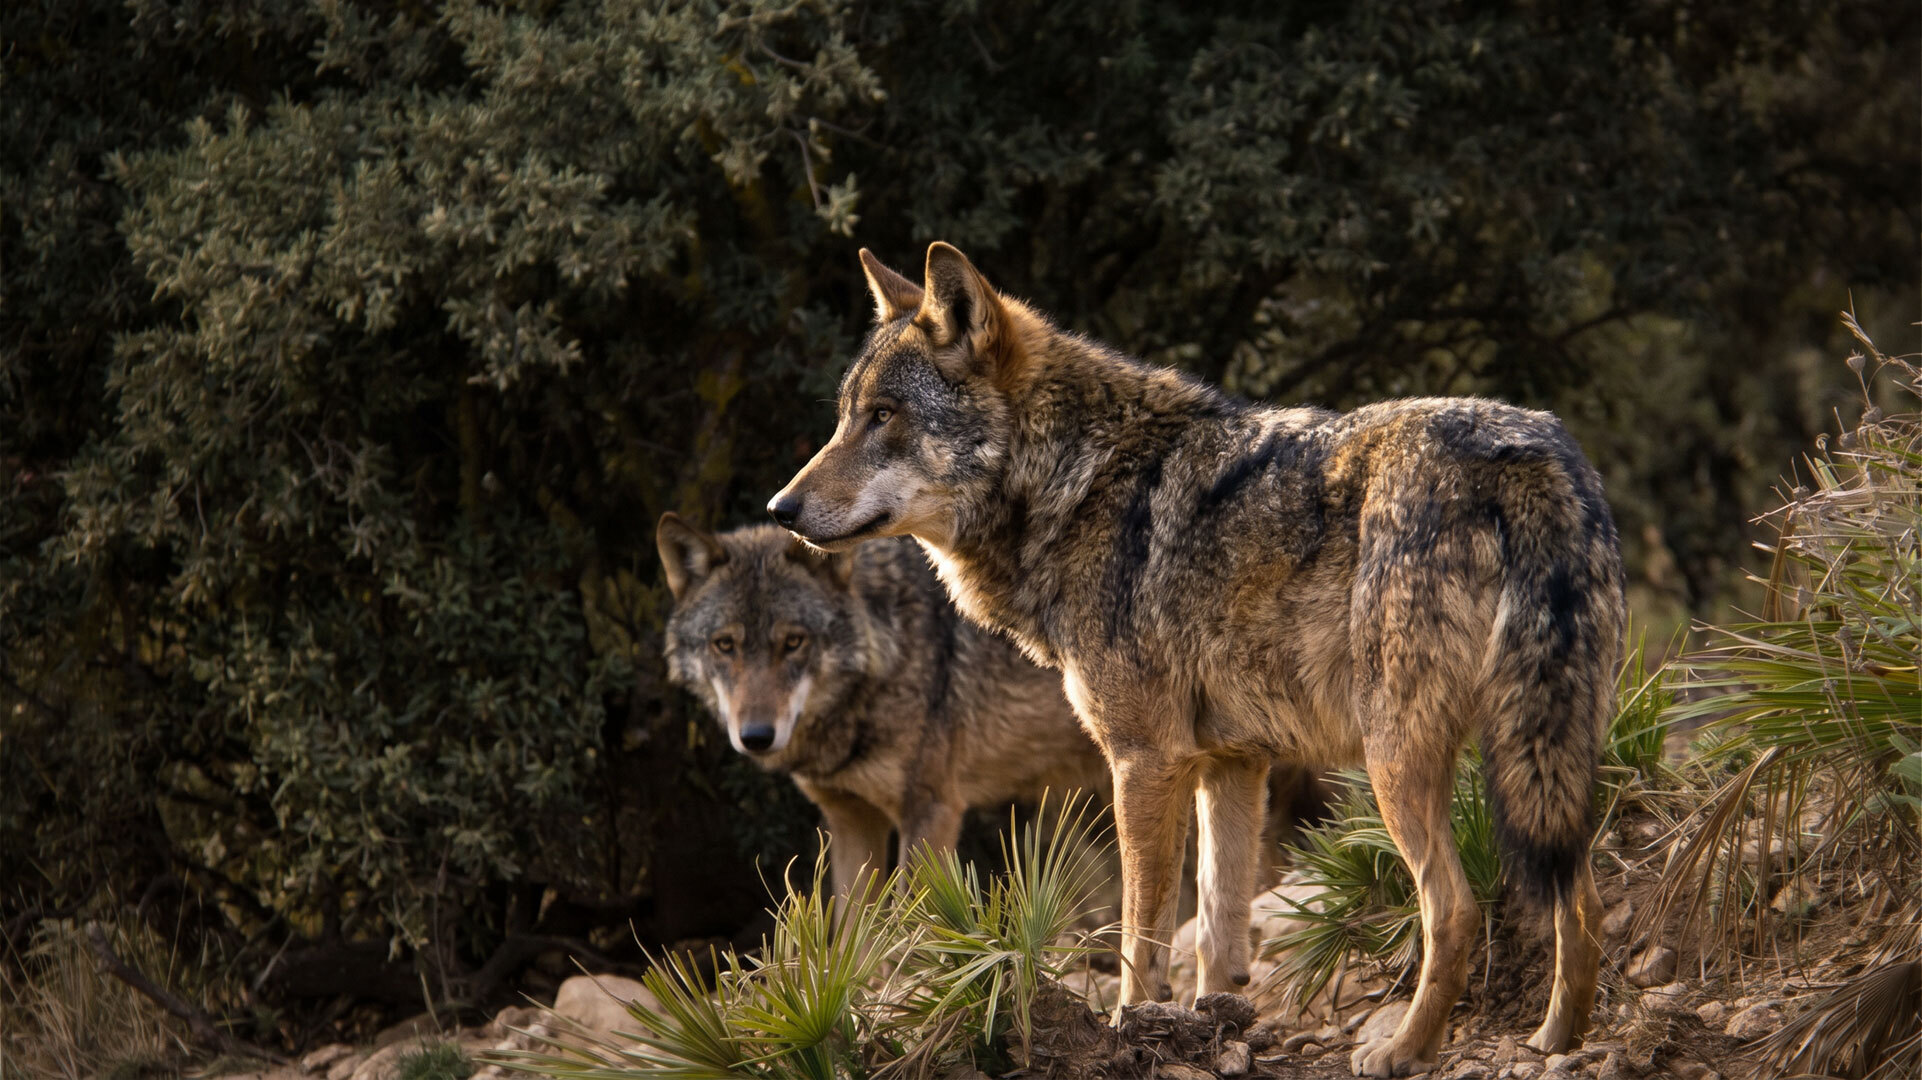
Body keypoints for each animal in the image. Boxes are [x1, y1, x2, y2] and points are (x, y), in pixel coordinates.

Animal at [655, 515, 1110, 897]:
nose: (756, 737)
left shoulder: (932, 811)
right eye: (724, 645)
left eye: (794, 641)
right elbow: (850, 936)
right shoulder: (850, 820)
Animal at [768, 244, 1625, 1076]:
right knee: (1579, 893)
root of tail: (1526, 450)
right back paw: (1558, 1039)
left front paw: (1130, 1030)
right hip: (1546, 752)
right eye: (846, 417)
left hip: (1398, 762)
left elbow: (1140, 935)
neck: (1077, 485)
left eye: (884, 417)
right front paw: (1215, 1030)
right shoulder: (1233, 764)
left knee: (1455, 908)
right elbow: (1217, 927)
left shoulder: (1145, 760)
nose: (779, 509)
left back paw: (1404, 1051)